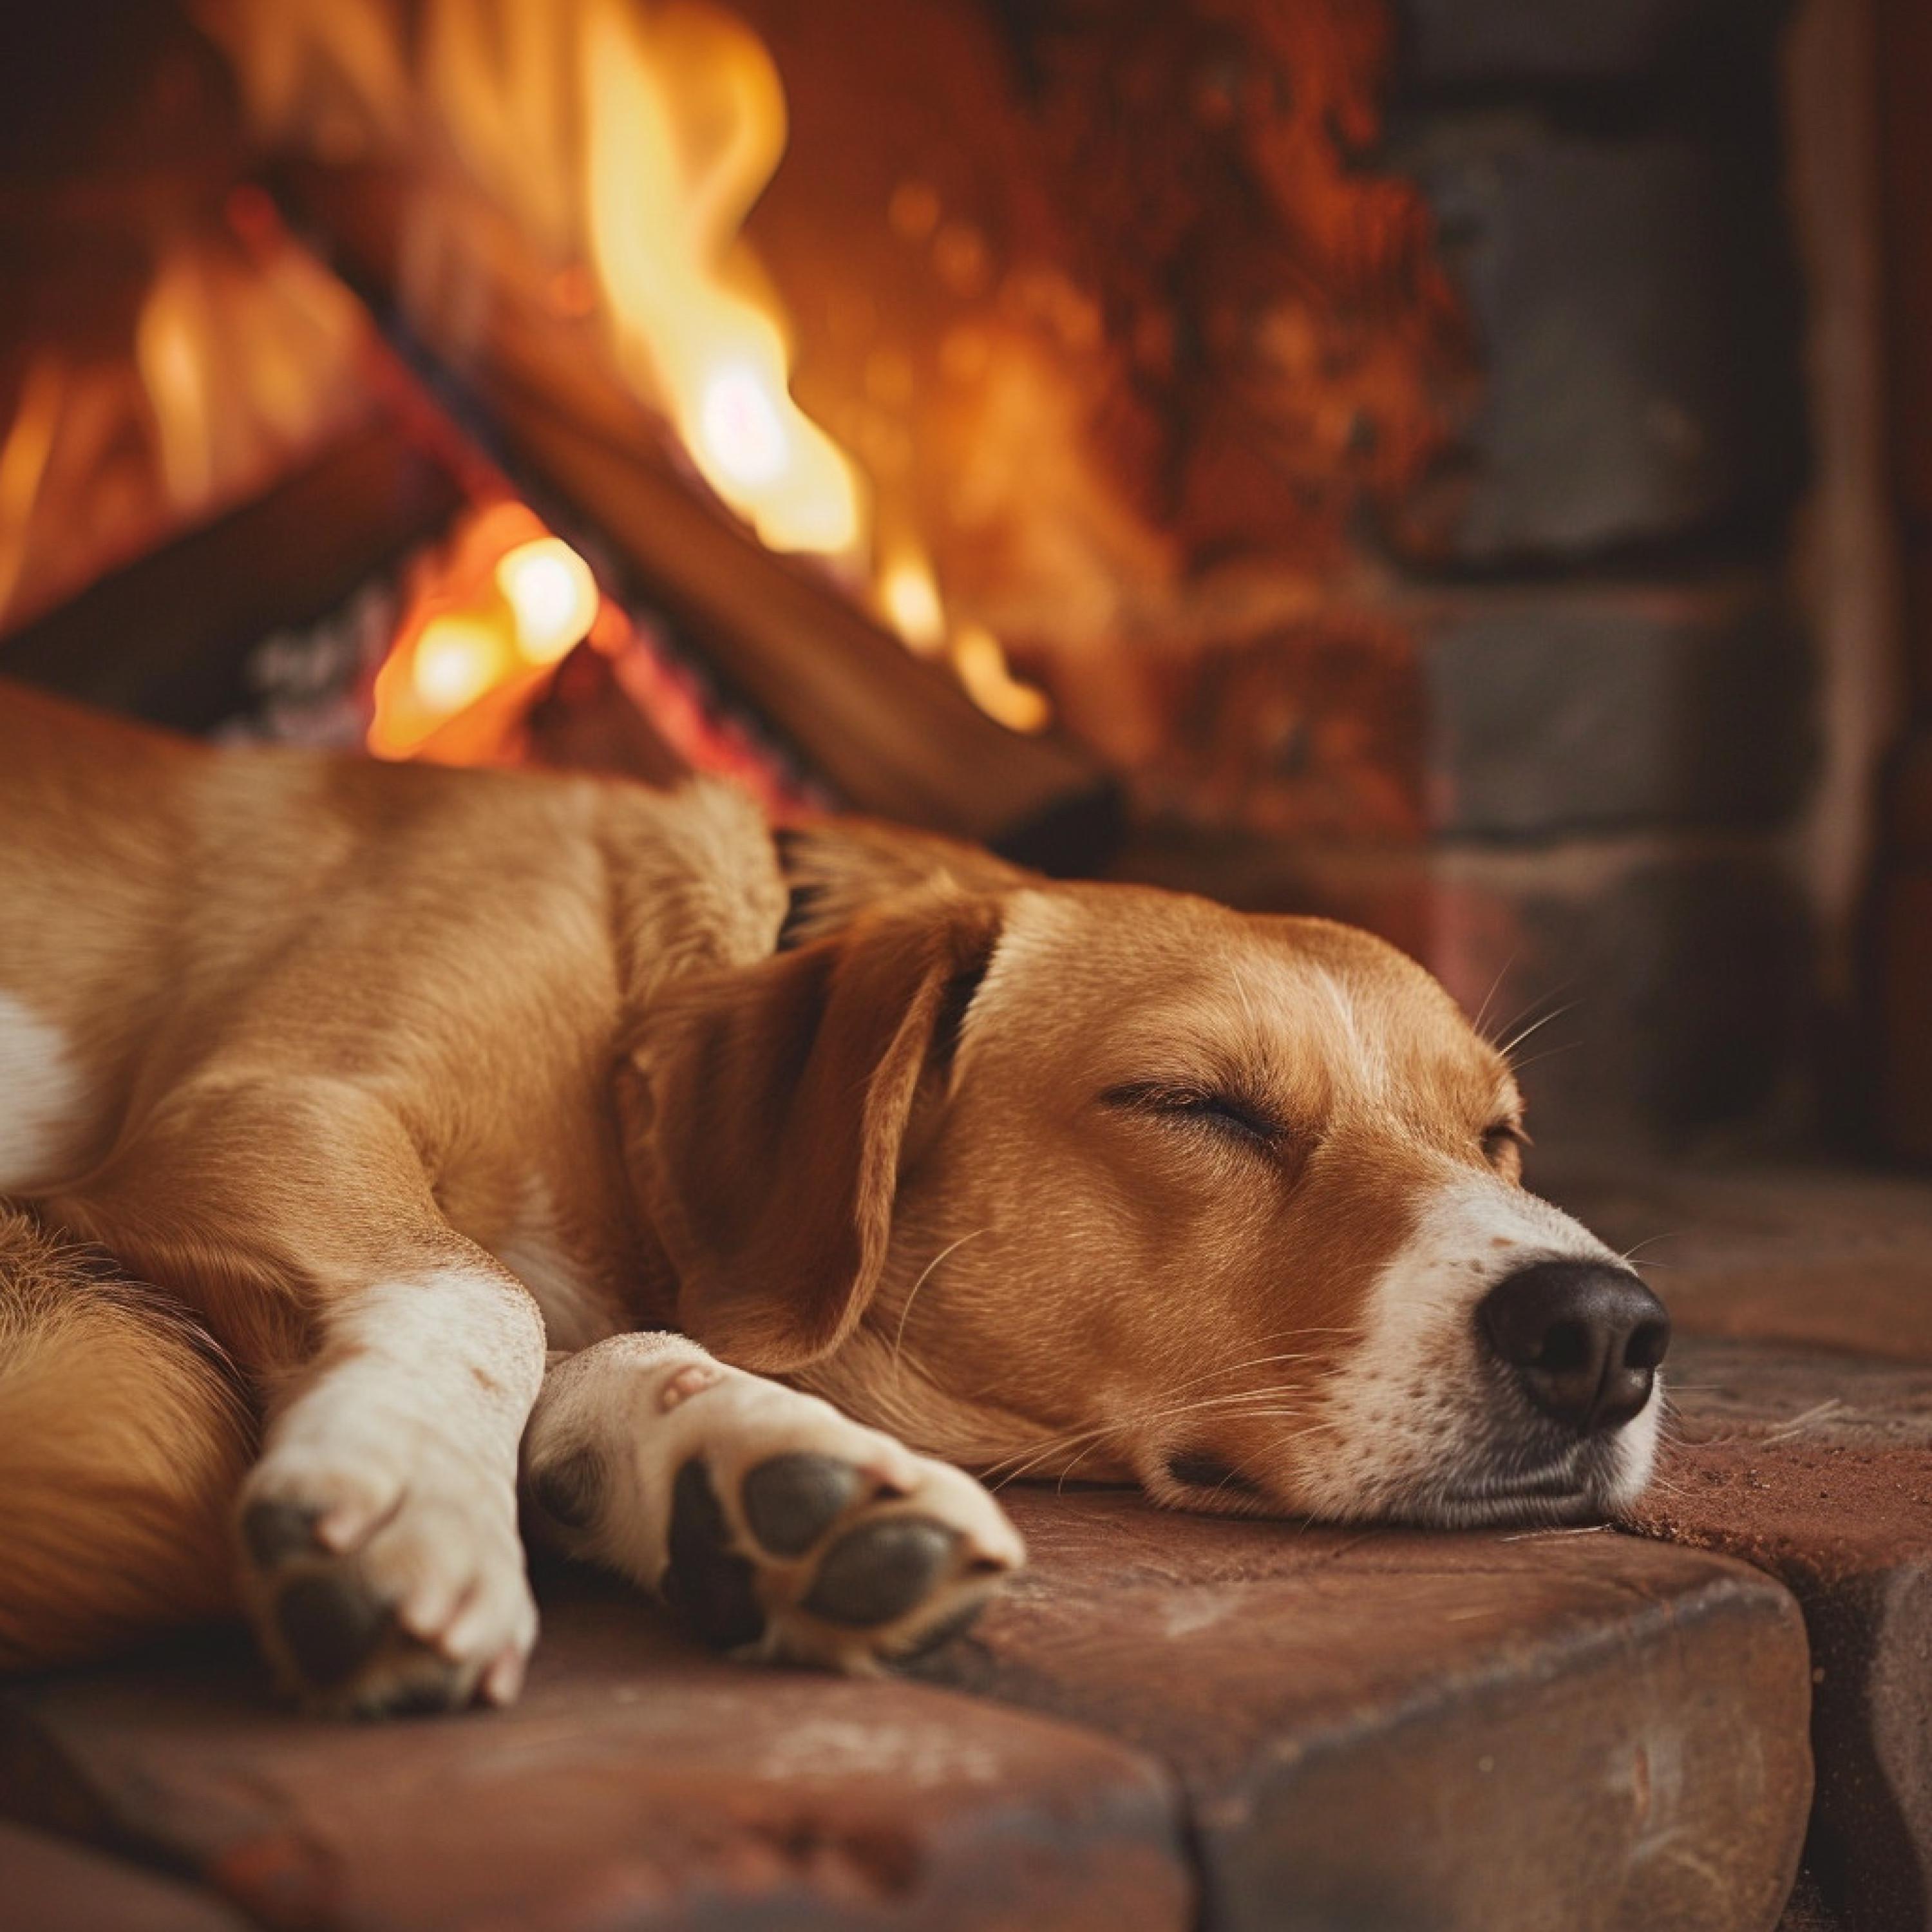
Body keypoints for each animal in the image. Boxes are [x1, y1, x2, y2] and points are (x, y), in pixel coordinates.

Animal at [0, 688, 1662, 1716]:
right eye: (1196, 1105)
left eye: (1499, 1136)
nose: (1604, 1332)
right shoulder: (260, 1112)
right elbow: (479, 1289)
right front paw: (408, 1488)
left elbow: (589, 1340)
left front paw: (751, 1467)